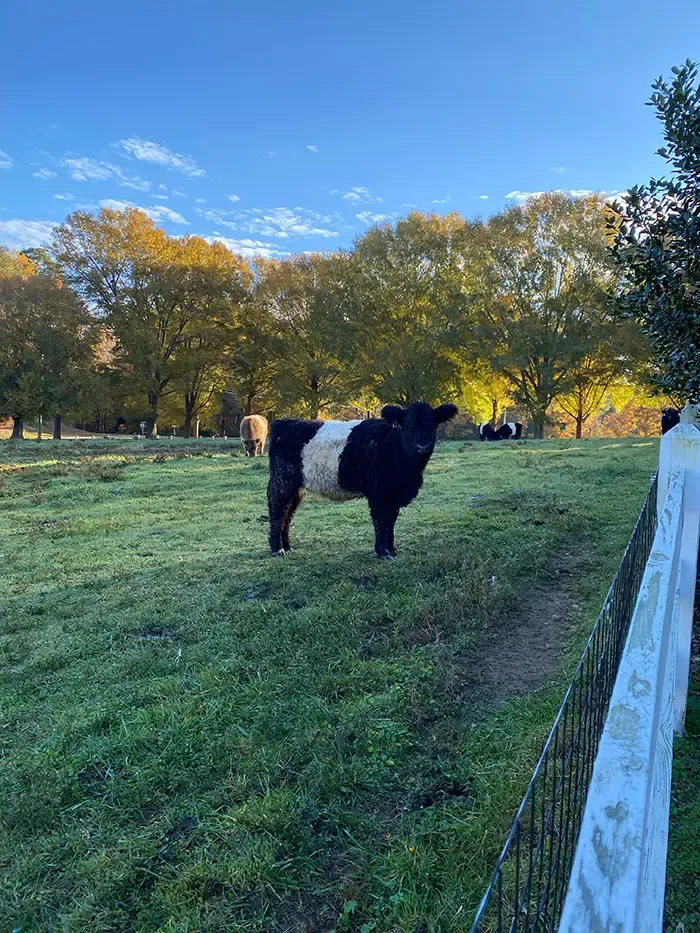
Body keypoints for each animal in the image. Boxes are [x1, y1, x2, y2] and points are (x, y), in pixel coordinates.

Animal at [267, 401, 458, 559]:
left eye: (432, 425)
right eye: (409, 426)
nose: (422, 446)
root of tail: (281, 423)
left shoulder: (393, 495)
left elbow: (391, 521)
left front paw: (392, 549)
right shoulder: (379, 494)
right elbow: (381, 521)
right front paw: (383, 552)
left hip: (296, 489)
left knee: (287, 515)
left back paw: (287, 546)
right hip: (283, 481)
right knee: (277, 511)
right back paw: (277, 549)